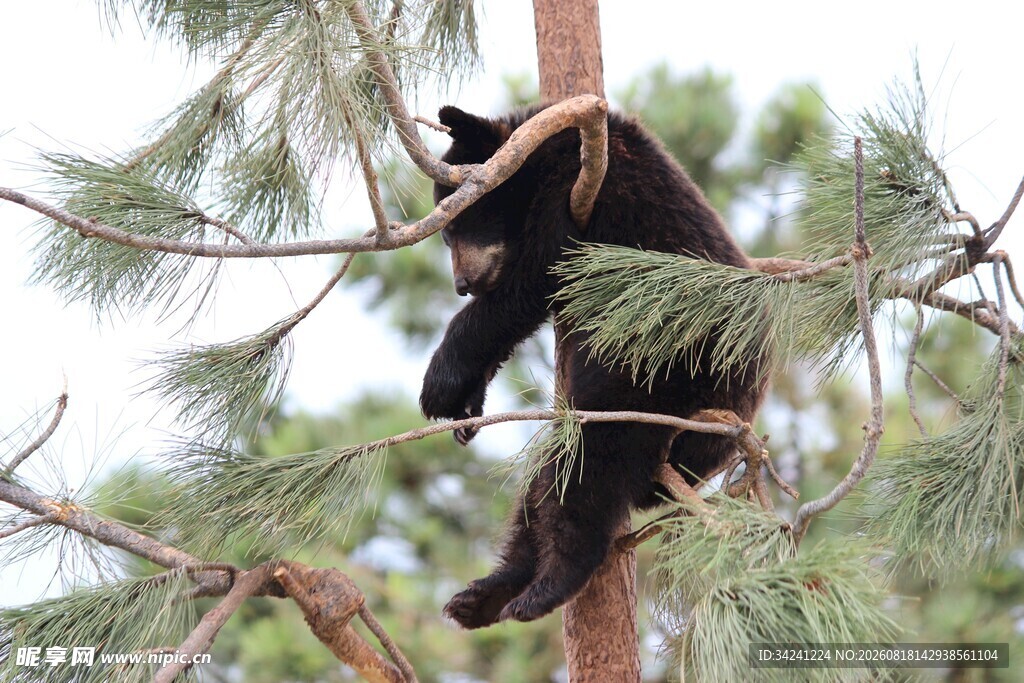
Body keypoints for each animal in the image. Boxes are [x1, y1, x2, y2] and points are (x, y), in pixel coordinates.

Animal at [419, 104, 768, 628]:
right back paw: (485, 595)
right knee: (548, 473)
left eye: (458, 226)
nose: (462, 283)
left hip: (660, 375)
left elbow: (528, 284)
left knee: (592, 458)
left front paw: (438, 385)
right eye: (445, 235)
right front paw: (466, 409)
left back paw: (548, 586)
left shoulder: (579, 191)